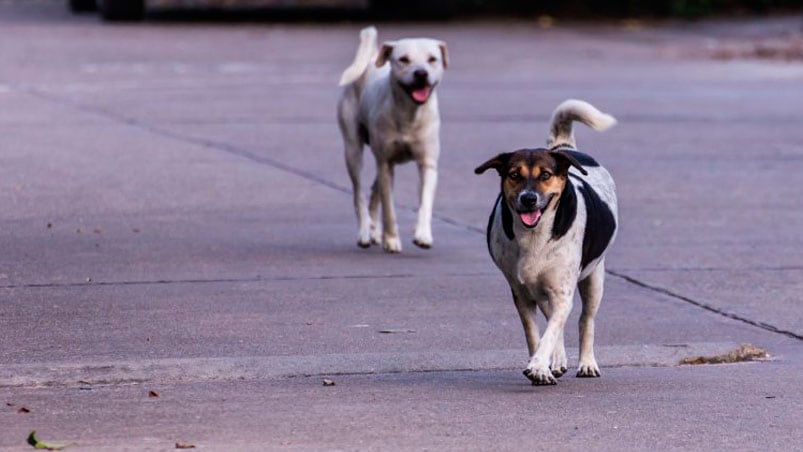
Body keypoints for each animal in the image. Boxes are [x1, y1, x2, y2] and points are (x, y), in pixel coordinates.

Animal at [338, 27, 450, 254]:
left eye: (432, 59)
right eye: (404, 59)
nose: (421, 73)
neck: (409, 114)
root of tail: (370, 60)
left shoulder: (427, 163)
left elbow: (425, 201)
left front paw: (423, 235)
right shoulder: (386, 164)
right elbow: (389, 208)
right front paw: (391, 240)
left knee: (374, 190)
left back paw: (373, 229)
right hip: (353, 149)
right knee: (359, 193)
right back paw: (365, 232)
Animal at [474, 99, 620, 384]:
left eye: (545, 175)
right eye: (514, 175)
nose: (529, 198)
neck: (533, 235)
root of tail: (564, 147)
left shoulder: (563, 293)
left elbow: (553, 330)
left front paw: (539, 365)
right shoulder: (521, 294)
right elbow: (536, 334)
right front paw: (541, 365)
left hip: (593, 278)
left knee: (585, 319)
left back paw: (587, 363)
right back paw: (559, 360)